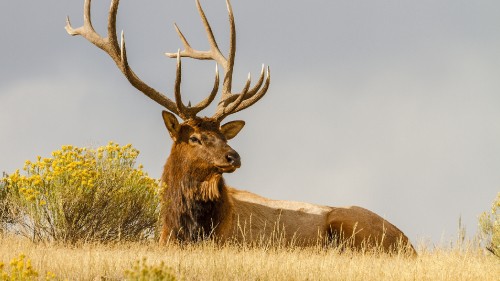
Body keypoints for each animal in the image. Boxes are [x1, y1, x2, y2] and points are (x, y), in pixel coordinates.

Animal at [68, 0, 416, 254]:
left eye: (223, 134)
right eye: (194, 137)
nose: (233, 157)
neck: (188, 229)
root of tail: (408, 243)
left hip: (350, 225)